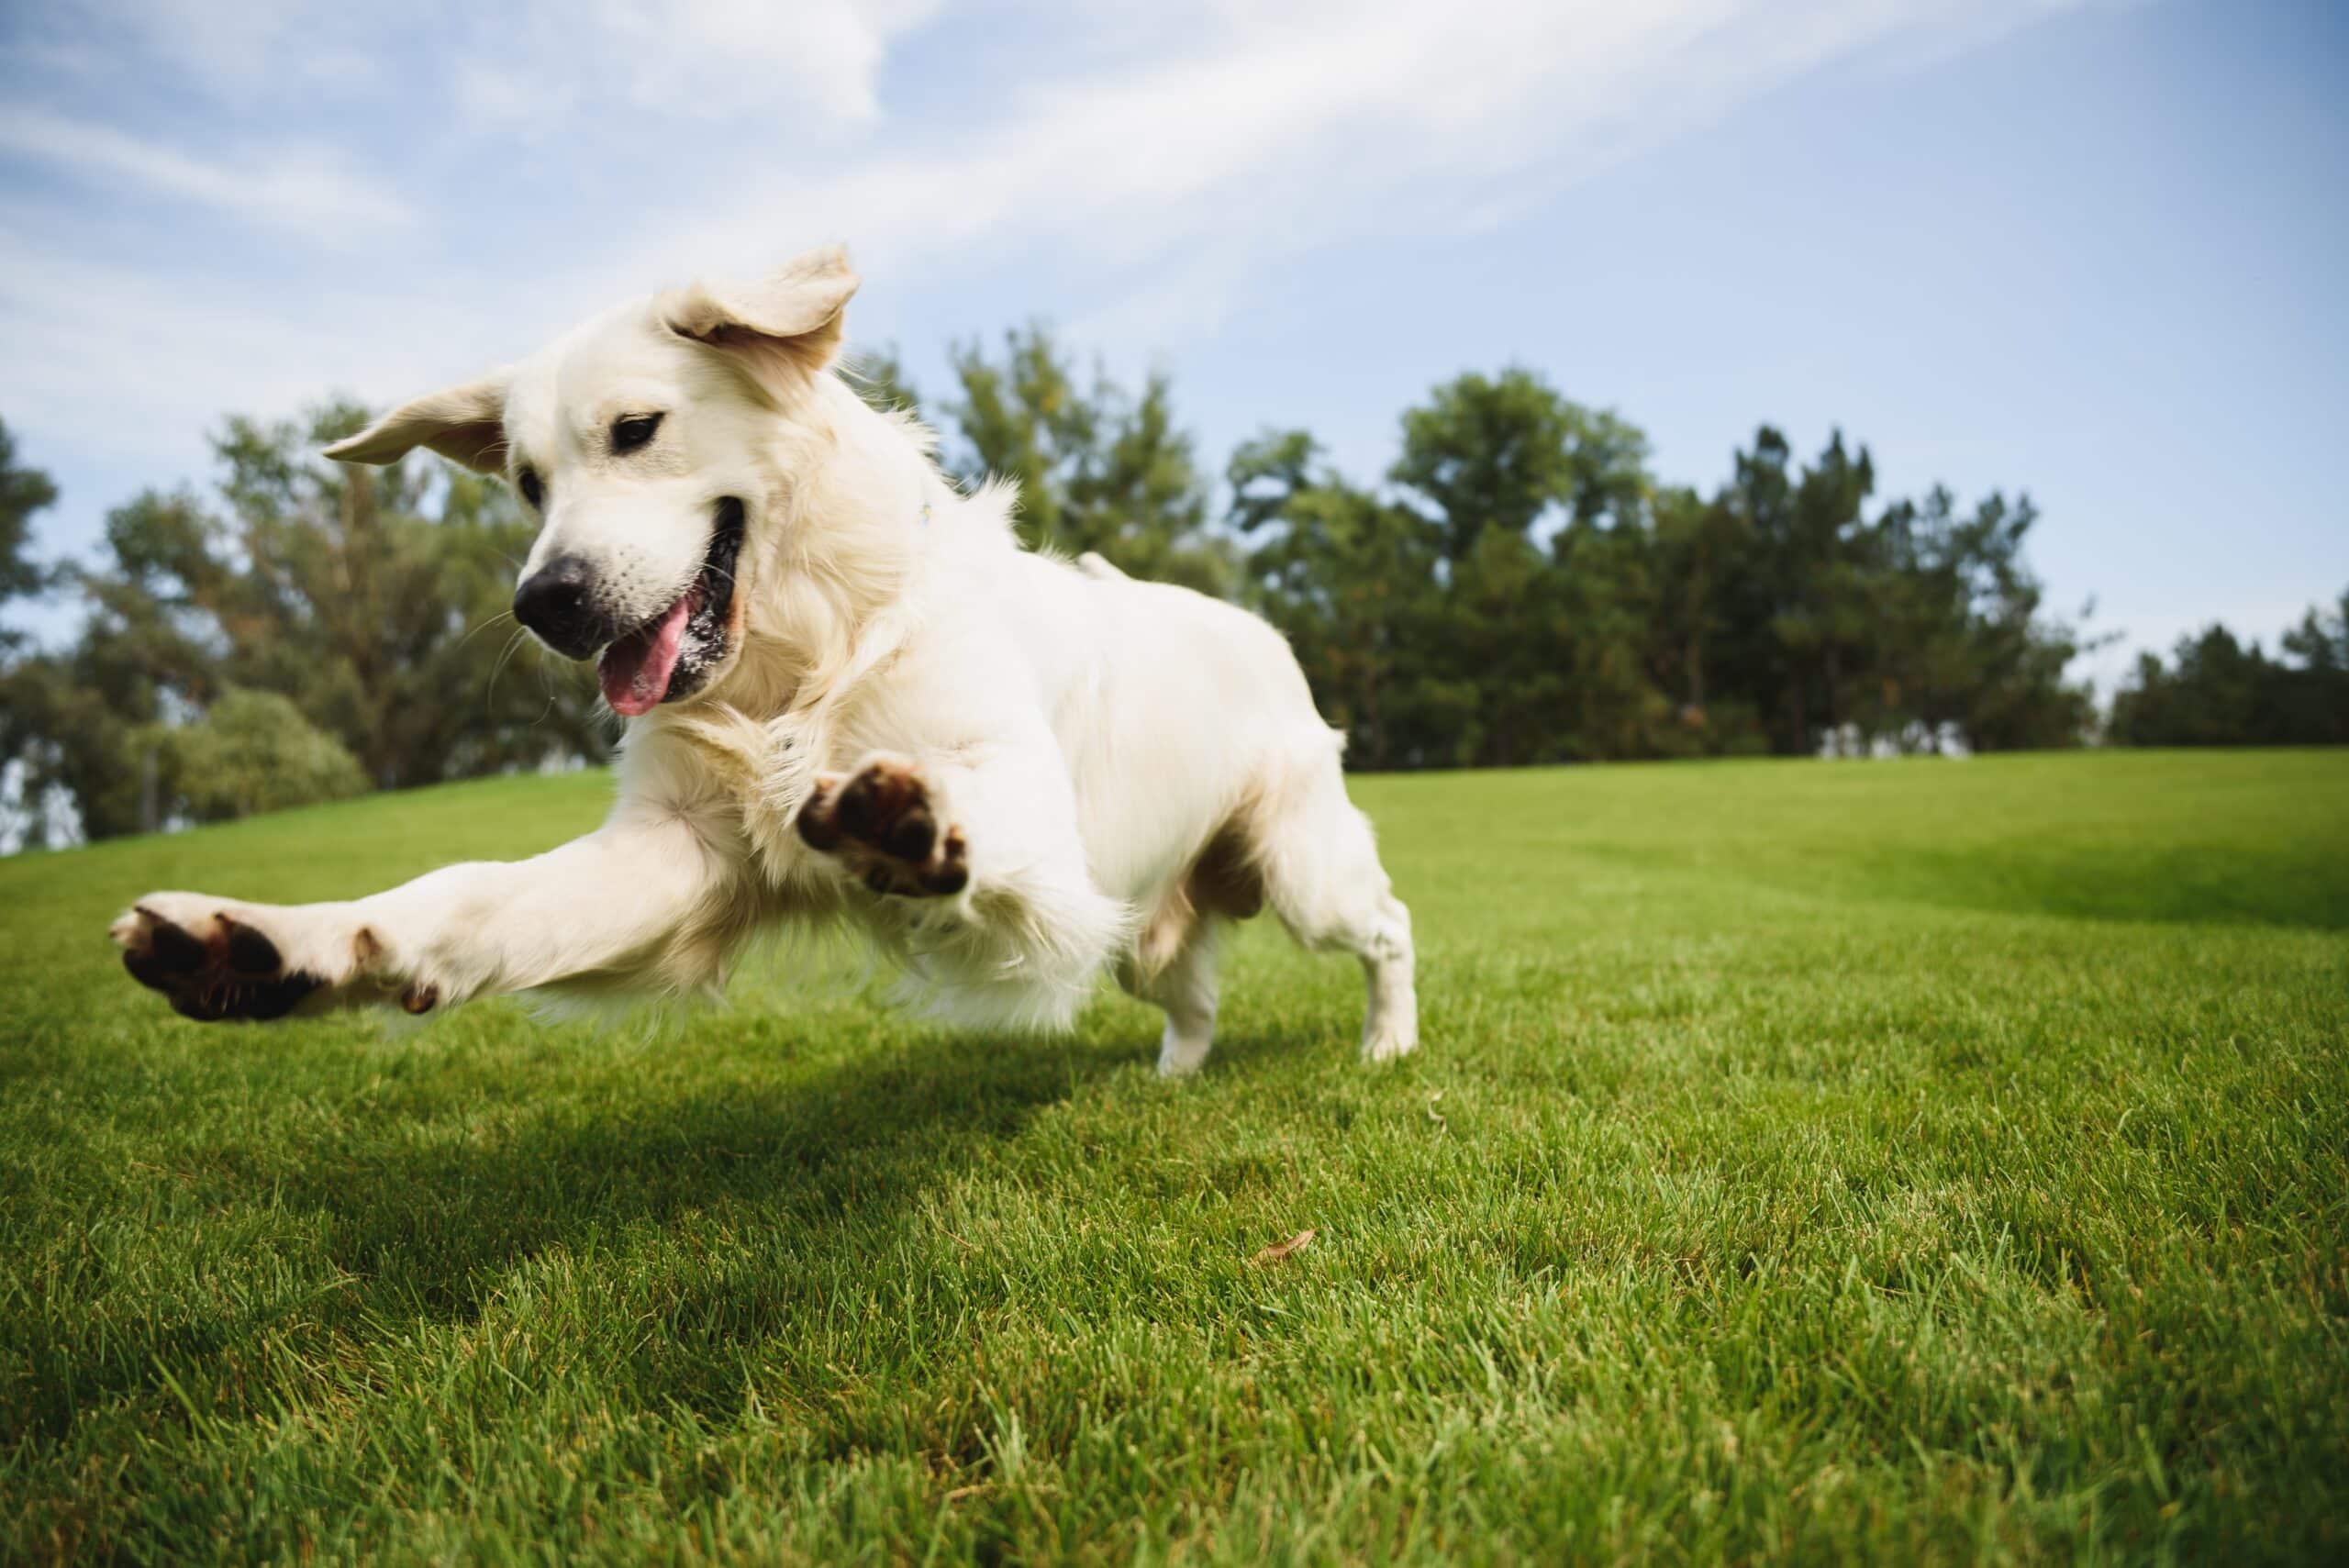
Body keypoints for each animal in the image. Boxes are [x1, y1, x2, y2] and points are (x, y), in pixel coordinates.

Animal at [110, 247, 1409, 1079]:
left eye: (636, 430)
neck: (801, 662)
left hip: (1302, 869)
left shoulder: (1035, 826)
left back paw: (1388, 1044)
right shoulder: (676, 851)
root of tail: (1260, 628)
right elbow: (464, 898)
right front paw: (274, 946)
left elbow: (971, 809)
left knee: (1388, 923)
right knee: (1190, 991)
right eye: (526, 483)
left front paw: (907, 824)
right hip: (1145, 919)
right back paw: (1173, 1074)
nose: (545, 602)